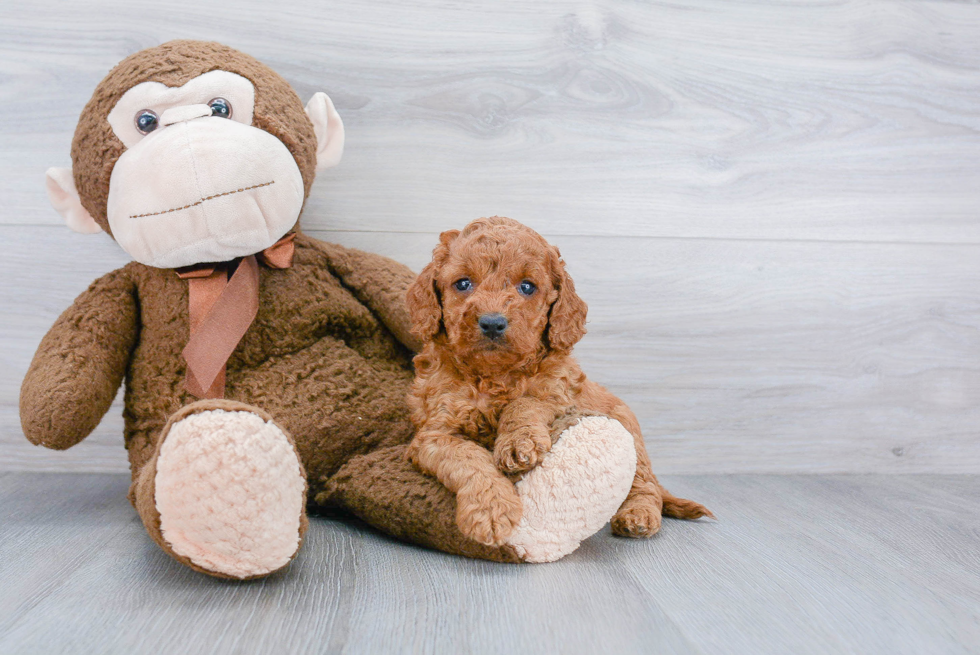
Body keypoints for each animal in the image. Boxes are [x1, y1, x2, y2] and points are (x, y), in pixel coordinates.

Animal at [406, 218, 712, 552]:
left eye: (527, 287)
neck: (494, 375)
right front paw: (491, 509)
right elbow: (467, 456)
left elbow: (525, 401)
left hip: (630, 432)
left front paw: (518, 442)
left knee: (645, 485)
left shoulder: (560, 395)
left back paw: (638, 515)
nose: (492, 323)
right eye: (462, 284)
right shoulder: (434, 433)